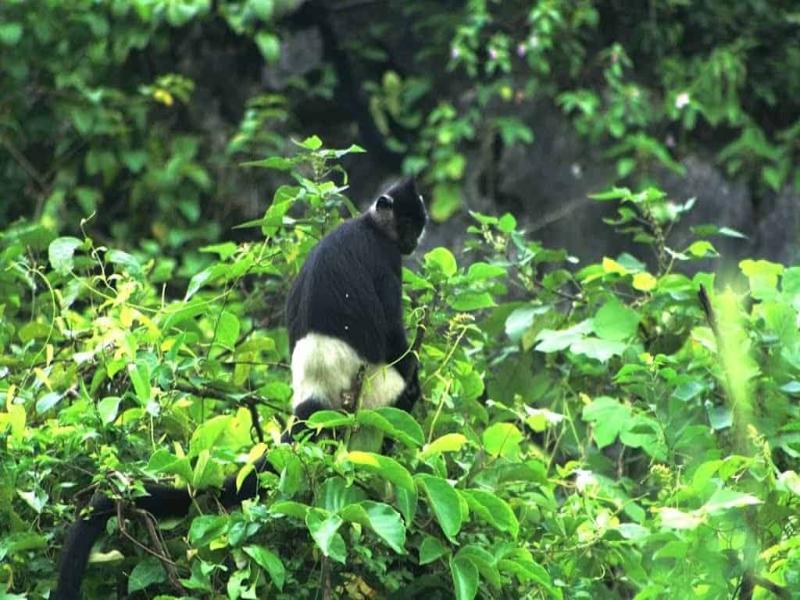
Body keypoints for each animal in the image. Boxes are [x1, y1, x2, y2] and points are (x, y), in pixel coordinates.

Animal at [54, 179, 424, 600]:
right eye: (406, 226)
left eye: (417, 227)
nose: (412, 241)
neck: (368, 225)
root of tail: (314, 391)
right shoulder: (385, 259)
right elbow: (394, 338)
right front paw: (411, 362)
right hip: (371, 393)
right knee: (399, 393)